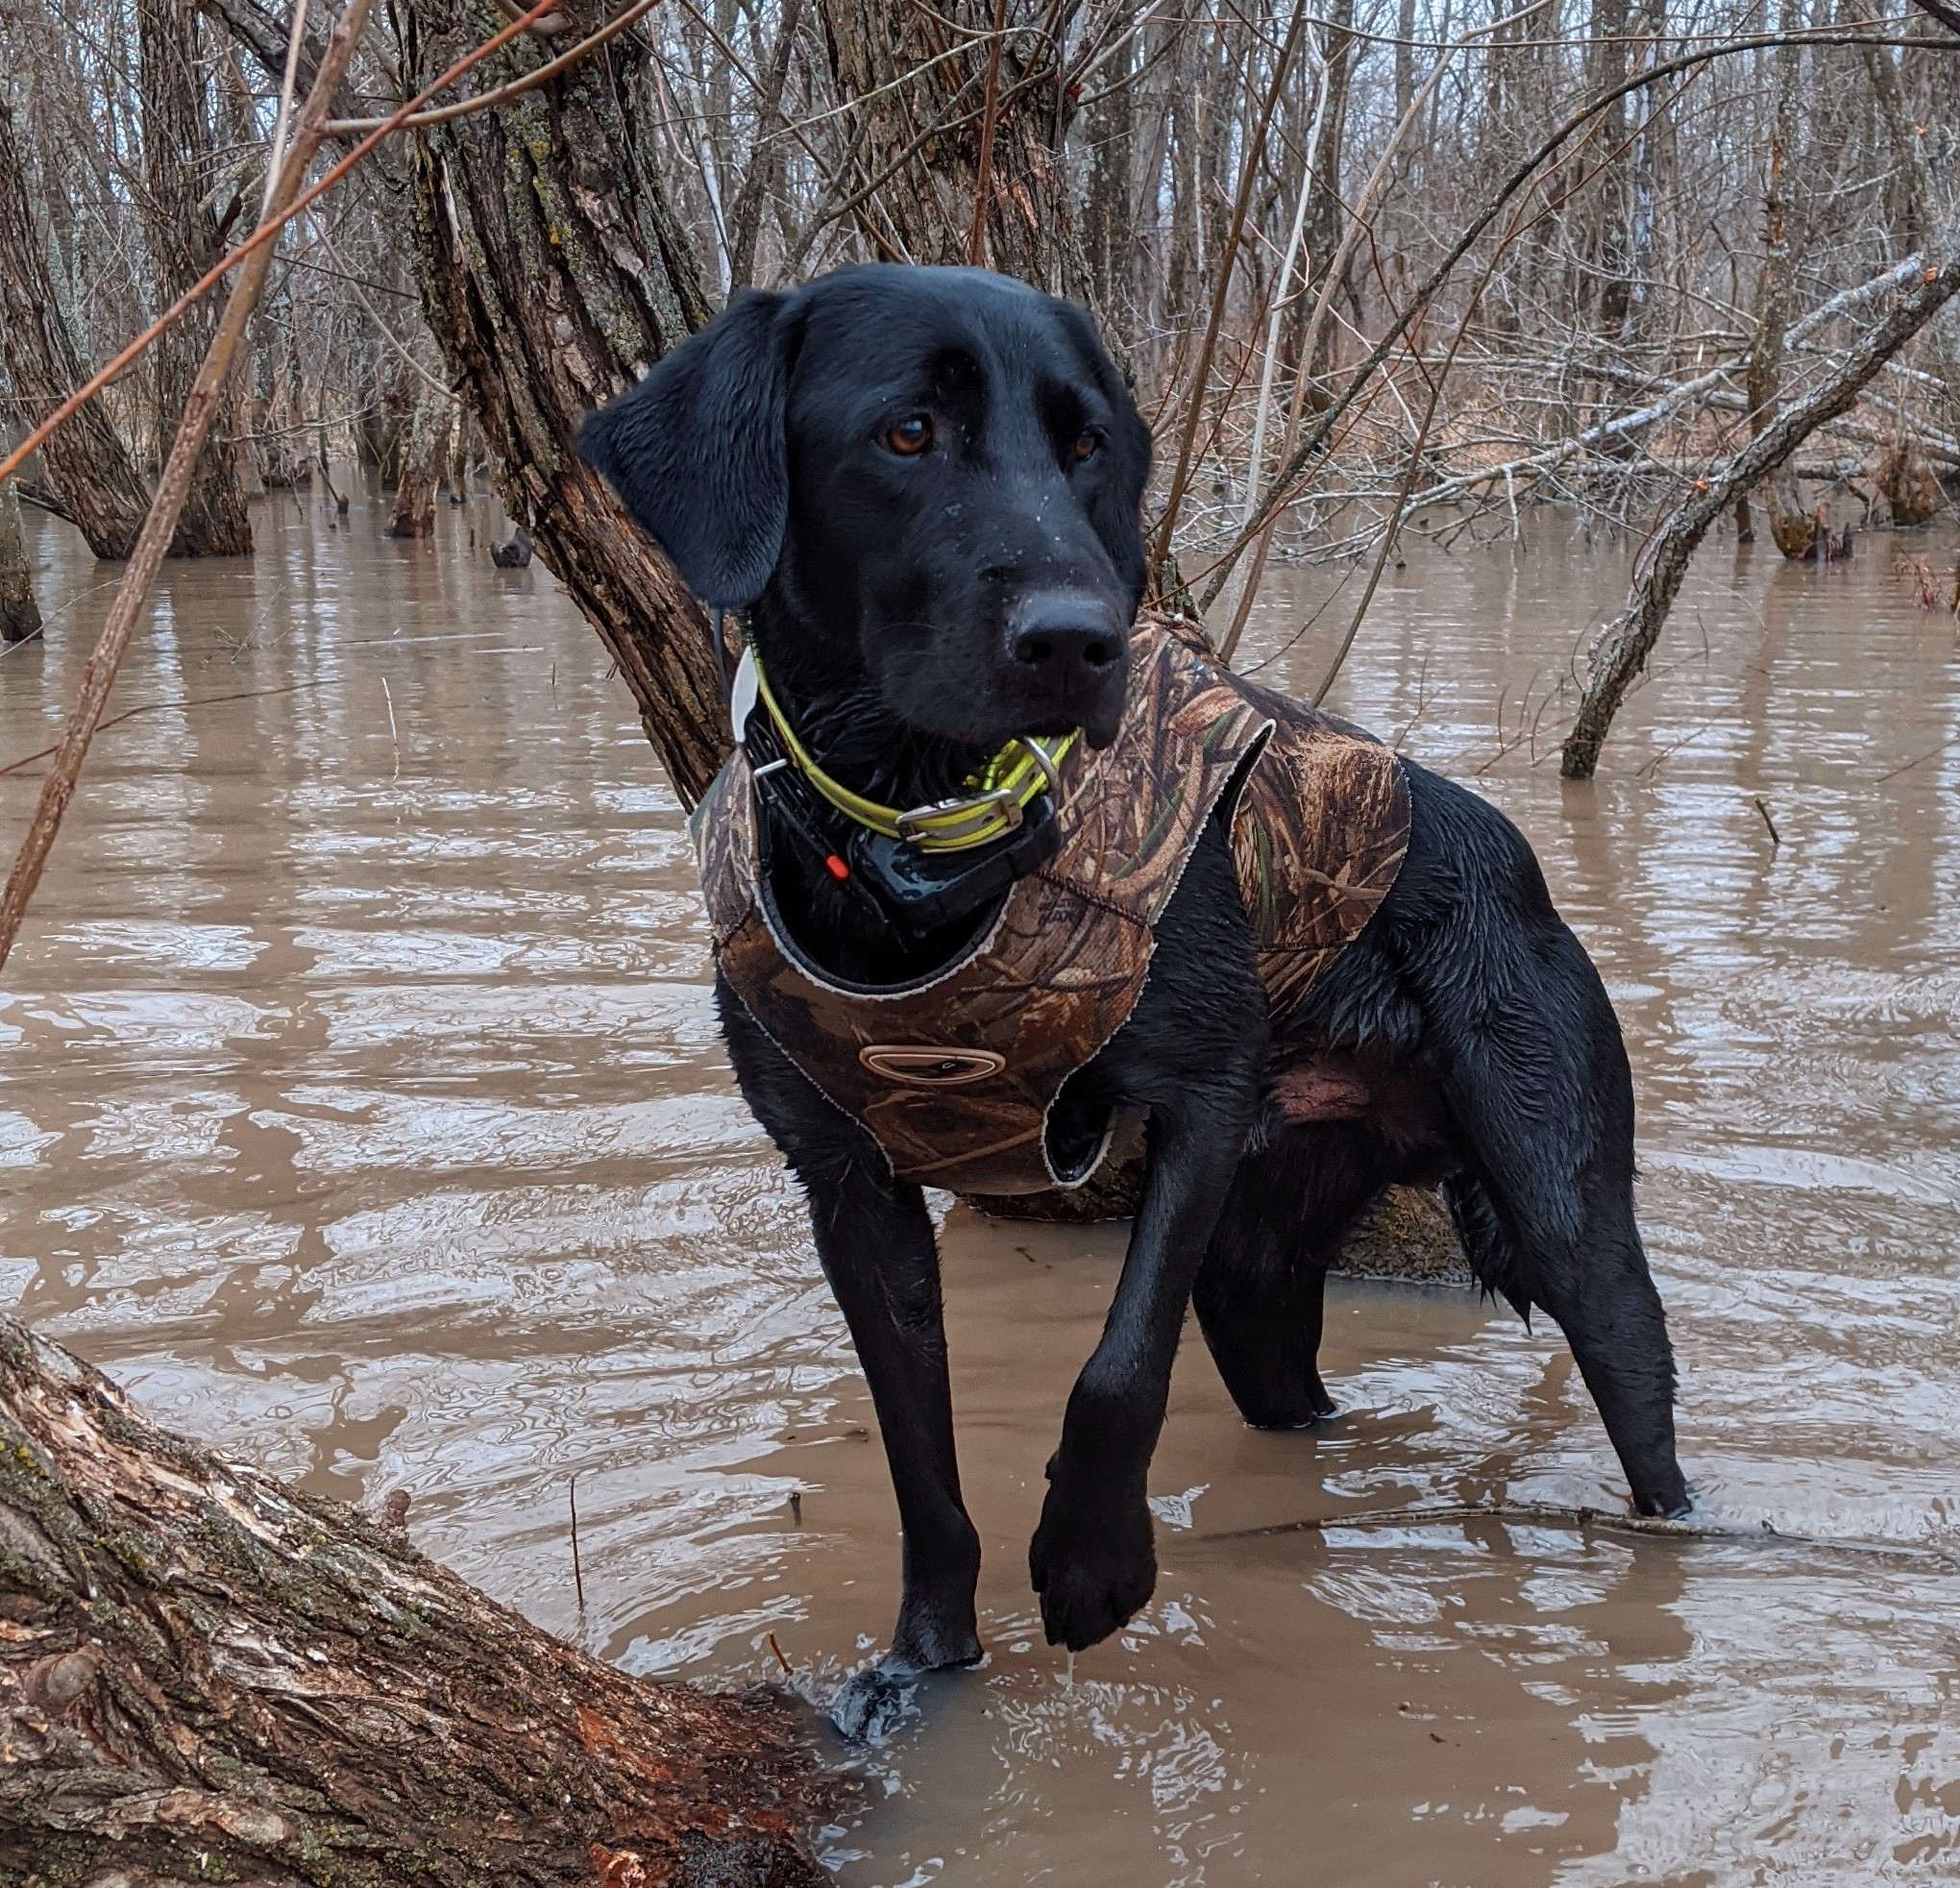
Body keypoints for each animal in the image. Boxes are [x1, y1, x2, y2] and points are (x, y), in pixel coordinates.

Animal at [576, 262, 1685, 1725]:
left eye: (1088, 444)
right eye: (905, 433)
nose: (1077, 641)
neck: (929, 846)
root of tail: (1516, 863)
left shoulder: (1200, 1104)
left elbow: (1115, 1372)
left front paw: (1093, 1567)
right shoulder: (850, 1186)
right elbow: (919, 1464)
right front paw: (926, 1662)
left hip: (1561, 1207)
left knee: (1635, 1376)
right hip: (1258, 1275)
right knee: (1292, 1389)